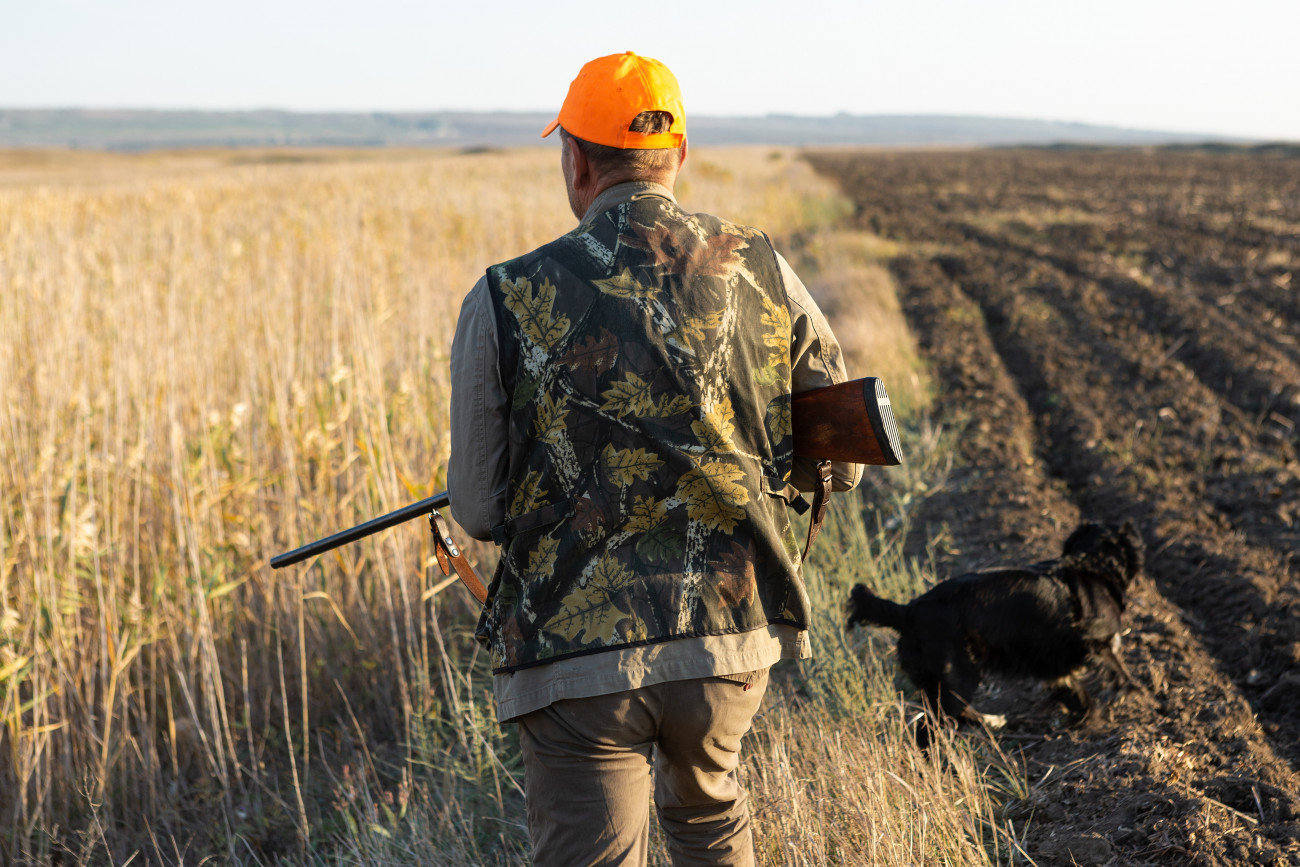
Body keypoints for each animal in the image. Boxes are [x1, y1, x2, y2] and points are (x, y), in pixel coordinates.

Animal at [842, 519, 1138, 743]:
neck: (1088, 563)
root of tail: (908, 611)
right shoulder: (1097, 642)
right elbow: (1119, 671)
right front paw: (1135, 697)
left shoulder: (1052, 662)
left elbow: (1073, 689)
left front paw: (1088, 716)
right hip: (957, 678)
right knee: (928, 729)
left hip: (942, 682)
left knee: (952, 716)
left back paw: (992, 722)